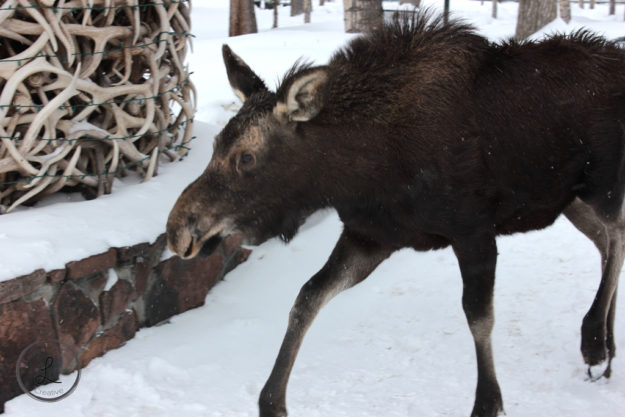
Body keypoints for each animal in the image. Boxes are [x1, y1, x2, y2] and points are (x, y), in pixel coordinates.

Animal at [167, 13, 624, 416]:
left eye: (246, 156)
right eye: (215, 146)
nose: (177, 231)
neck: (361, 168)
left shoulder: (473, 231)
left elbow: (479, 316)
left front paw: (487, 402)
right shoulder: (371, 236)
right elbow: (307, 298)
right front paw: (272, 402)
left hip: (601, 185)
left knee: (616, 235)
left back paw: (595, 341)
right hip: (571, 201)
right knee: (604, 243)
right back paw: (606, 342)